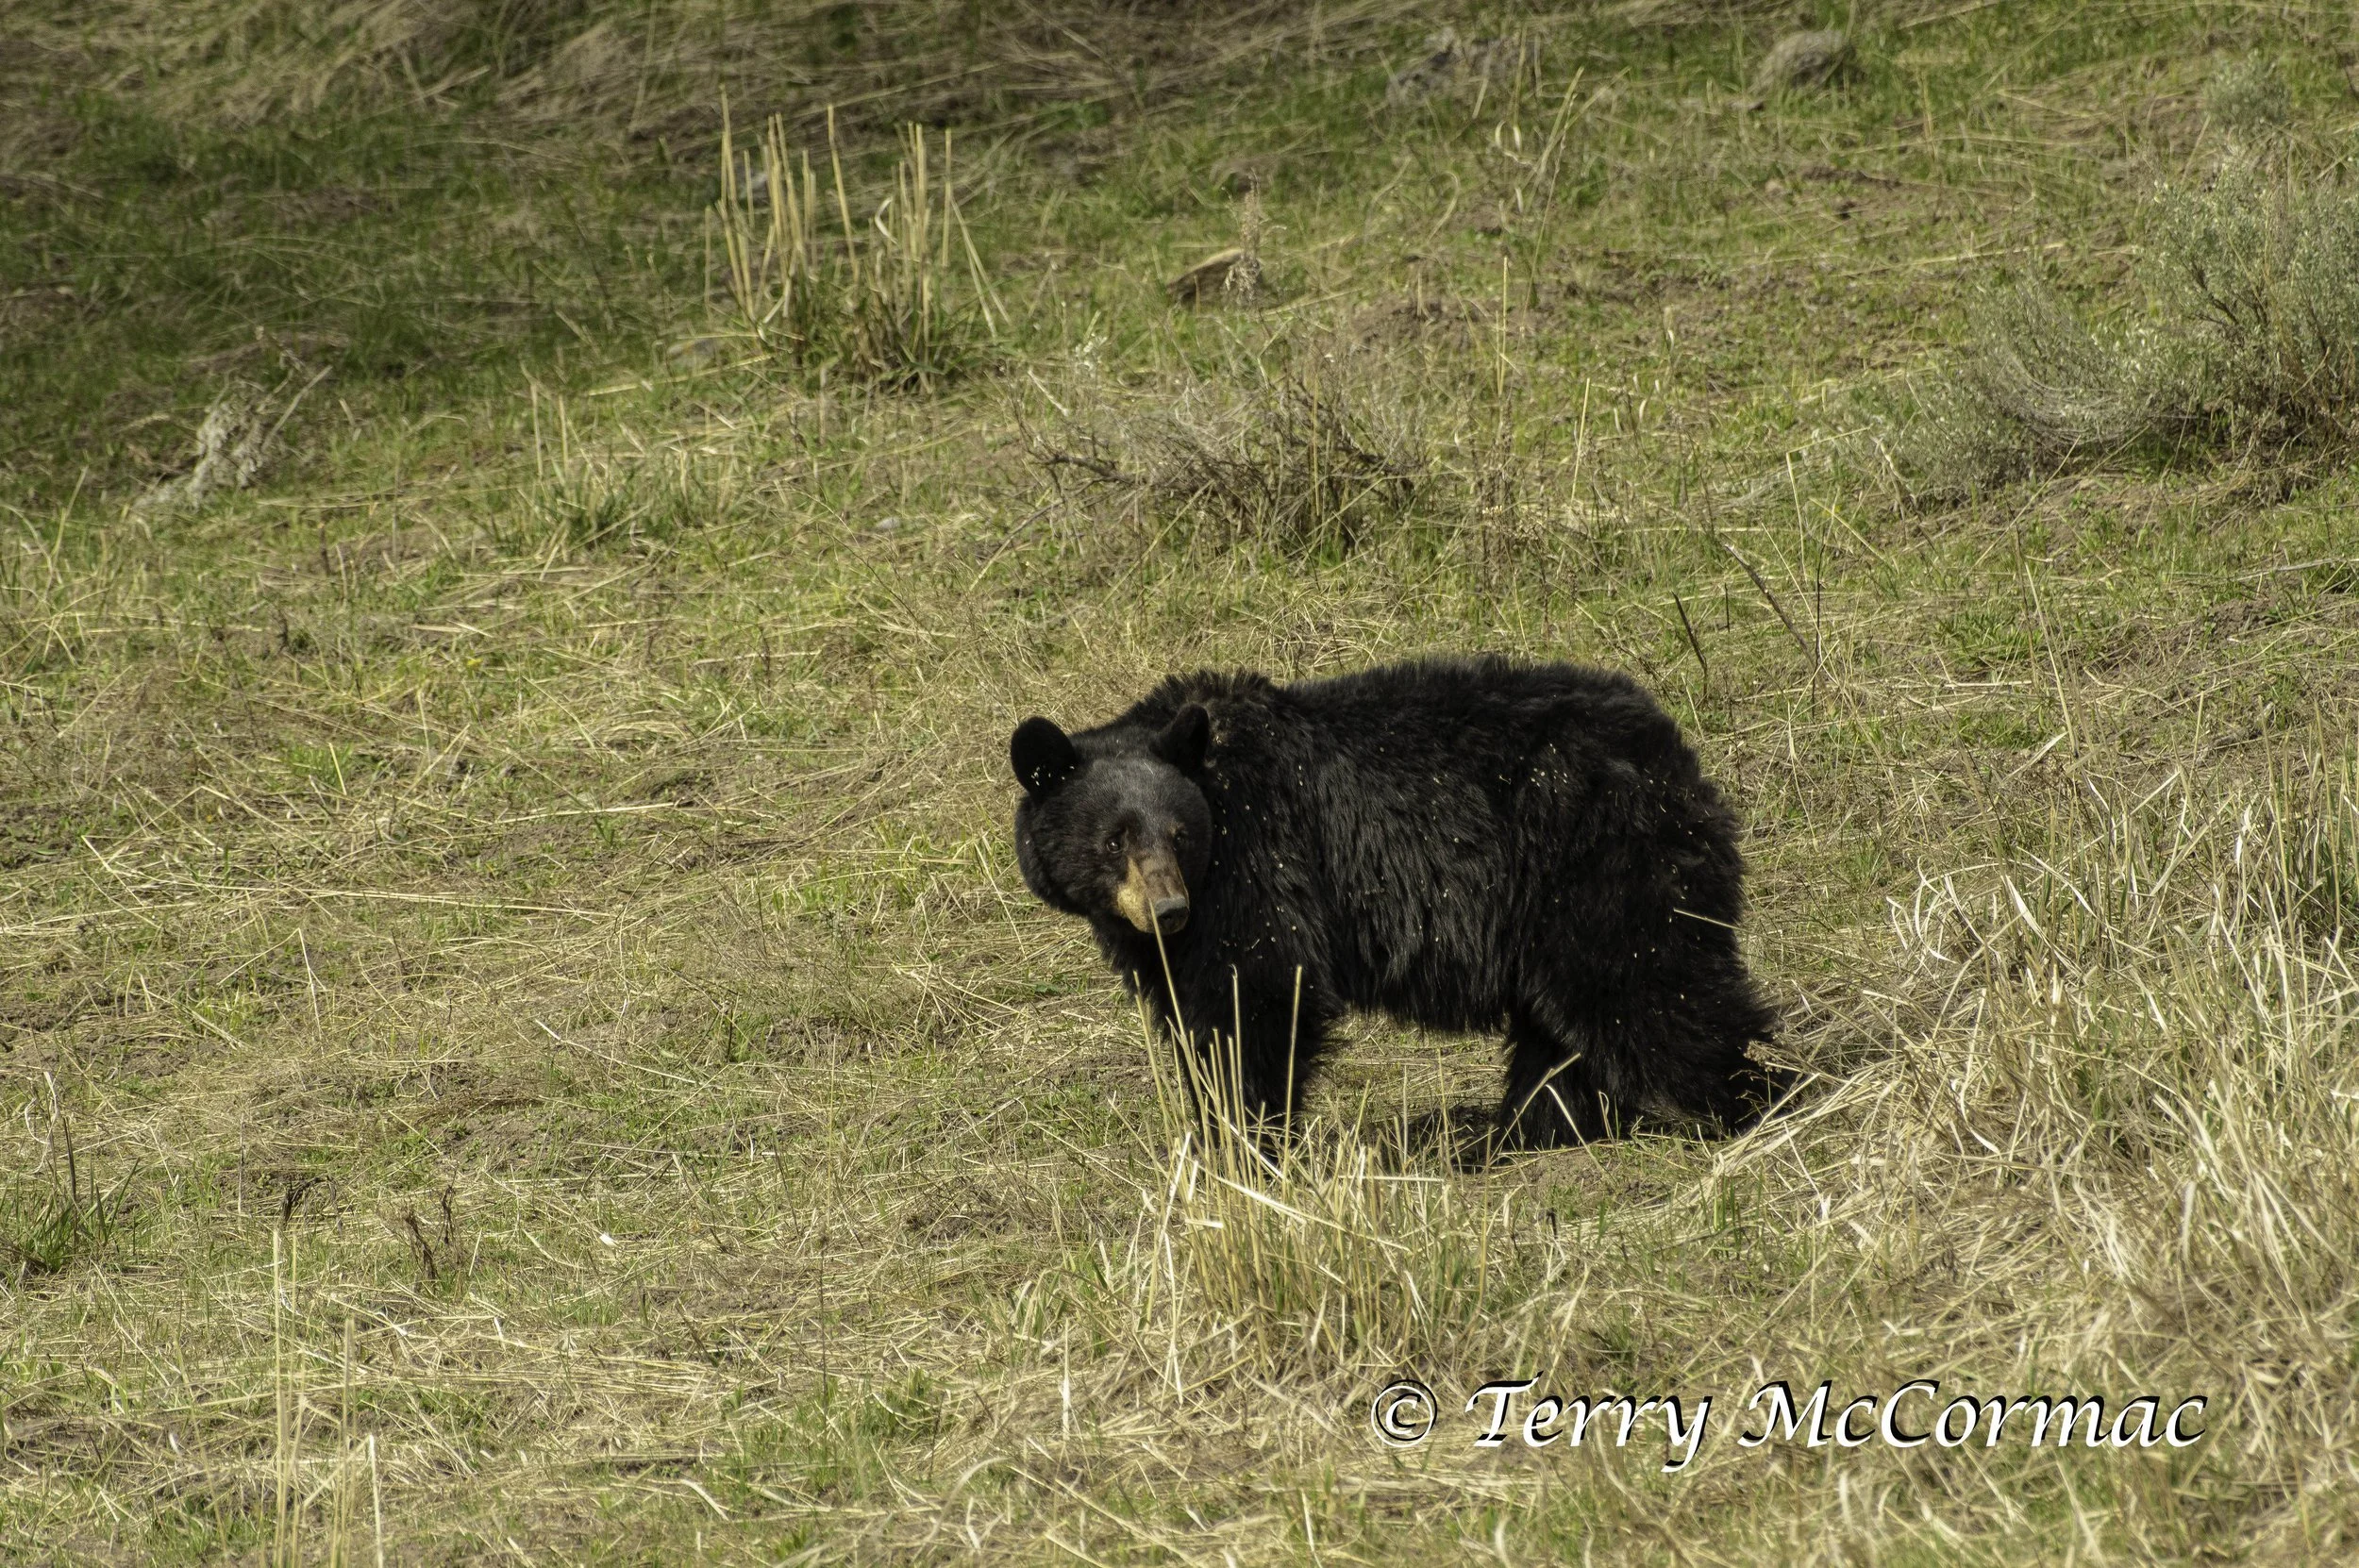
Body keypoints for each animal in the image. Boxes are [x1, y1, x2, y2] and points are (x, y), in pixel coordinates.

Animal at [1008, 656, 1784, 1149]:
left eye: (1179, 832)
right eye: (1114, 839)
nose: (1168, 909)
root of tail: (1672, 752)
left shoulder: (1261, 859)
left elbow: (1258, 991)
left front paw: (1240, 1143)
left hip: (1599, 862)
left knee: (1655, 989)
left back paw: (1756, 1103)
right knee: (1559, 1031)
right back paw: (1532, 1131)